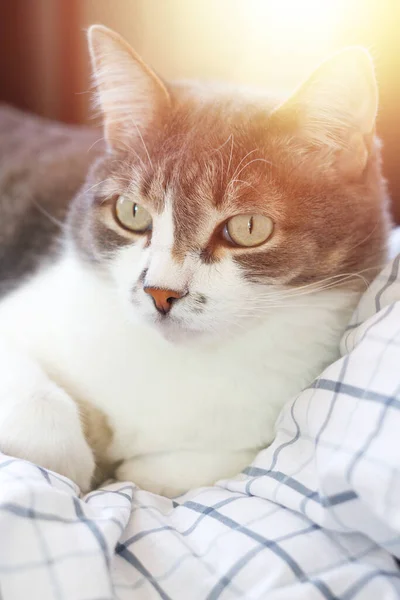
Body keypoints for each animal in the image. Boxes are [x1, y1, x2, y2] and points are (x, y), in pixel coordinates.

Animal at [0, 27, 390, 496]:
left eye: (248, 227)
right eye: (132, 212)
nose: (159, 292)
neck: (180, 362)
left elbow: (173, 472)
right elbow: (48, 430)